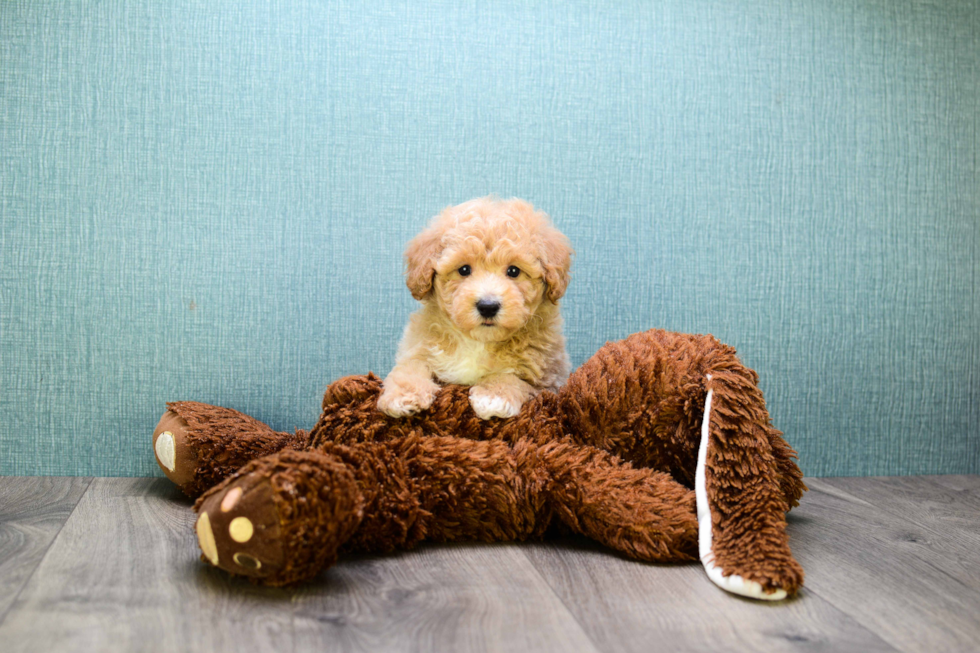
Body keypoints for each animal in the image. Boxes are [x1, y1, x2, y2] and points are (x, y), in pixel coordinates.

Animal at [378, 196, 576, 420]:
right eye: (464, 269)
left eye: (514, 271)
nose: (488, 306)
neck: (478, 341)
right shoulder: (418, 346)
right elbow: (410, 366)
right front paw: (404, 395)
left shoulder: (547, 382)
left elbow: (513, 378)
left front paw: (494, 396)